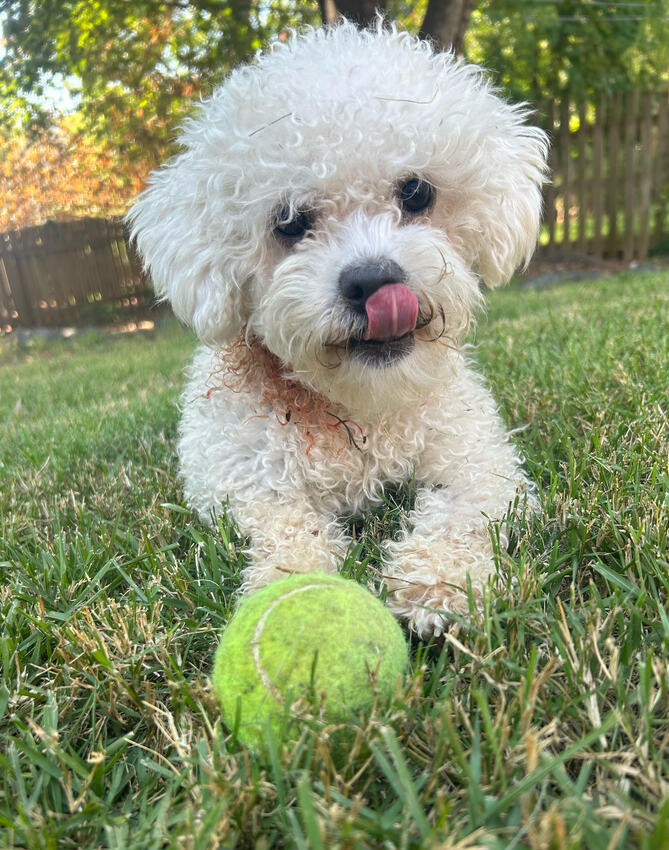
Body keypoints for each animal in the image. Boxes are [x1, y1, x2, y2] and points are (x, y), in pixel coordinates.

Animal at [130, 21, 548, 636]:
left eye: (416, 192)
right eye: (288, 222)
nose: (373, 282)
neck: (356, 412)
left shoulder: (477, 456)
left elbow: (463, 508)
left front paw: (438, 578)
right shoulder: (242, 479)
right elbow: (286, 528)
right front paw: (295, 599)